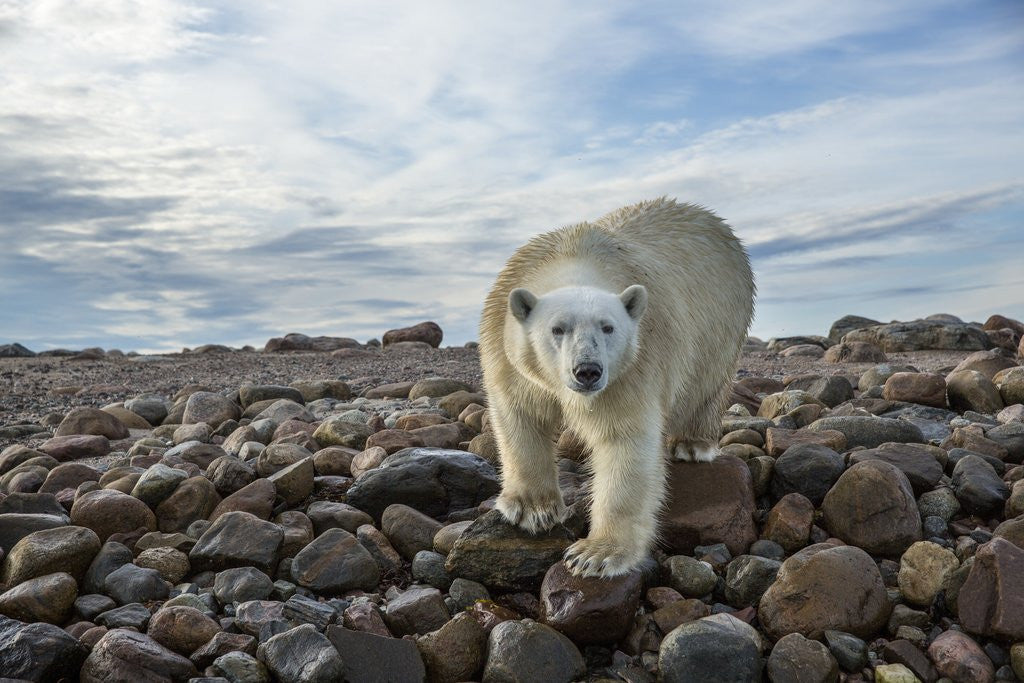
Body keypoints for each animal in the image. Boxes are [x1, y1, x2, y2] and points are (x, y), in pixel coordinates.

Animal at [479, 197, 755, 577]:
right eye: (557, 328)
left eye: (608, 327)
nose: (588, 371)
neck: (574, 255)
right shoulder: (507, 352)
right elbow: (520, 416)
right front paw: (531, 509)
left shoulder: (635, 365)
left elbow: (624, 440)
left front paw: (596, 553)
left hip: (722, 325)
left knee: (706, 384)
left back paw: (692, 443)